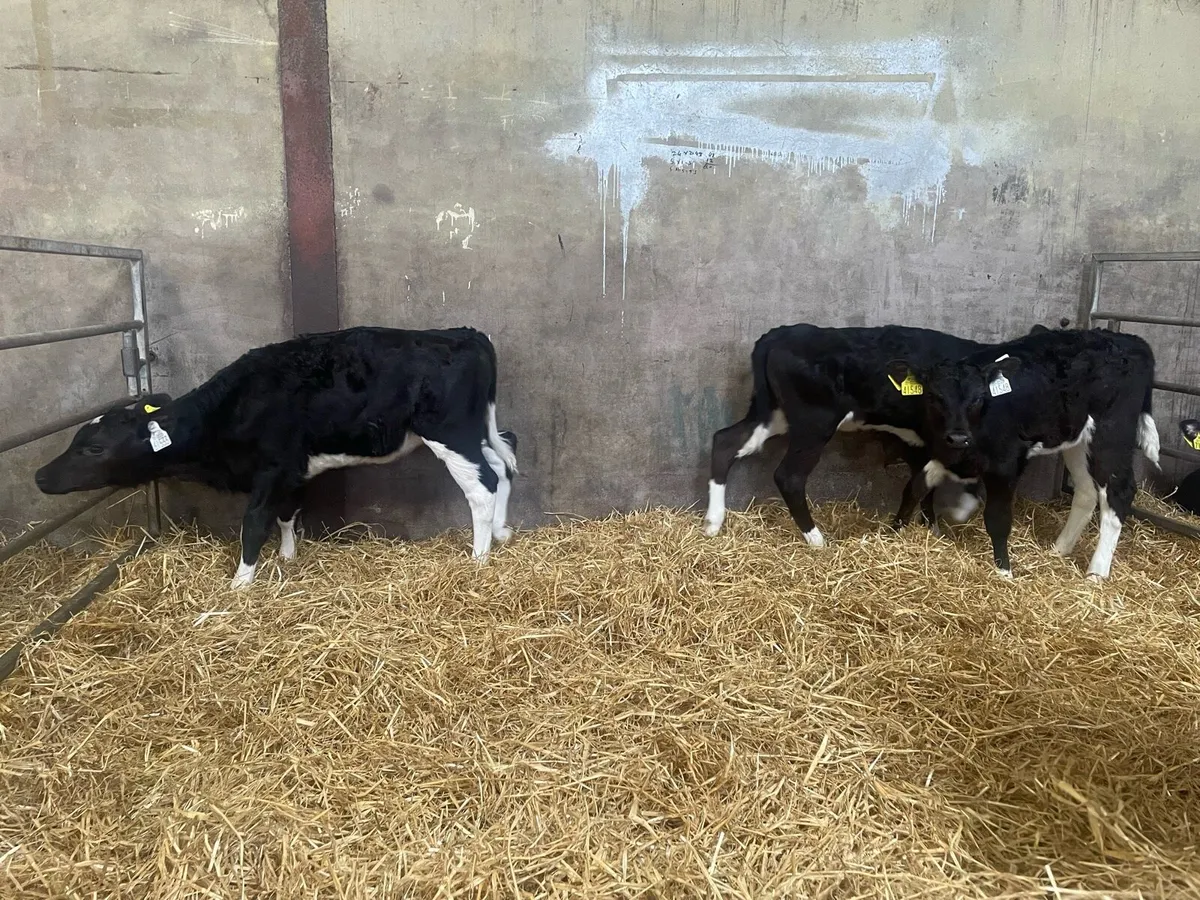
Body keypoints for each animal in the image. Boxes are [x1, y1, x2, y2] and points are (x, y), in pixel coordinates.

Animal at [35, 326, 519, 589]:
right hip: (476, 431)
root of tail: (463, 334)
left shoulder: (270, 469)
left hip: (450, 432)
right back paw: (501, 534)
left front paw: (241, 583)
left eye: (94, 448)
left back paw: (478, 558)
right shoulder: (292, 469)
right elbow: (287, 514)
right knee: (502, 464)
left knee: (483, 486)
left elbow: (253, 523)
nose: (39, 476)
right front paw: (288, 557)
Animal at [704, 324, 993, 545]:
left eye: (978, 398)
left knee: (726, 441)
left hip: (774, 413)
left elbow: (921, 487)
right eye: (935, 397)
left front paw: (925, 531)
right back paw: (818, 541)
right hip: (815, 422)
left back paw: (713, 523)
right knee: (789, 476)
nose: (958, 436)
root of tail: (779, 334)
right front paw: (953, 514)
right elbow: (937, 484)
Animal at [889, 327, 1159, 580]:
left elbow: (997, 518)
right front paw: (894, 531)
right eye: (935, 396)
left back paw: (1096, 573)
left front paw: (1004, 572)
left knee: (1118, 492)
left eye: (978, 398)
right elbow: (915, 487)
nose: (957, 437)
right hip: (1078, 439)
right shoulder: (945, 453)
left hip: (1111, 433)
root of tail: (1132, 340)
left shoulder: (1006, 463)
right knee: (1086, 491)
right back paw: (1058, 550)